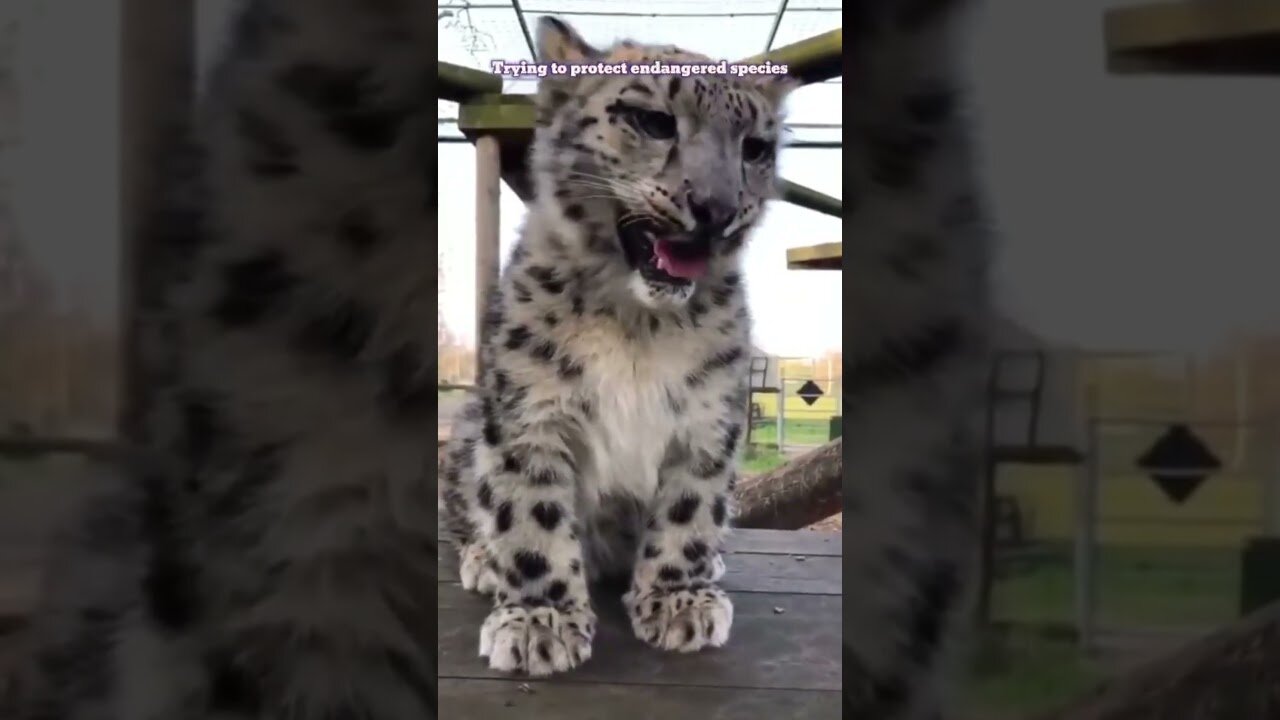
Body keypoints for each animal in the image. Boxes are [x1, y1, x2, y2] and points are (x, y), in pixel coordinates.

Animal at [438, 17, 795, 676]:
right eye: (653, 121)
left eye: (755, 148)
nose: (717, 209)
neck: (638, 324)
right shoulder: (532, 413)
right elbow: (531, 515)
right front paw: (539, 620)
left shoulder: (708, 417)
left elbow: (689, 508)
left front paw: (679, 601)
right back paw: (482, 563)